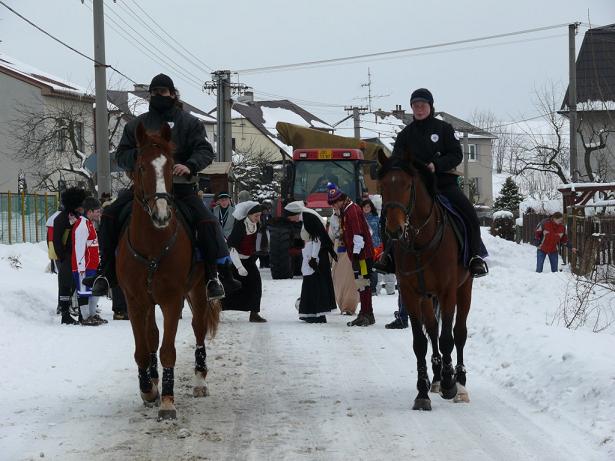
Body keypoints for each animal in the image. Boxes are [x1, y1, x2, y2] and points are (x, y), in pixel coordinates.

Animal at [116, 122, 220, 420]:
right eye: (140, 166)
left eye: (172, 166)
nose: (161, 214)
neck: (152, 245)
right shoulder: (135, 301)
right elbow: (143, 349)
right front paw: (148, 390)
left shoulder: (172, 300)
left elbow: (167, 351)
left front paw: (167, 402)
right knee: (152, 336)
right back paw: (152, 379)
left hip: (197, 291)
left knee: (198, 329)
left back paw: (199, 381)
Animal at [378, 150, 474, 410]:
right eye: (382, 185)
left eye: (407, 184)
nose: (394, 230)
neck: (420, 241)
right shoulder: (411, 294)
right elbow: (420, 342)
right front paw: (422, 392)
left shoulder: (448, 291)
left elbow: (448, 338)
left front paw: (451, 385)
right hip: (426, 297)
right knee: (432, 328)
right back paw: (437, 378)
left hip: (464, 288)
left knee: (459, 332)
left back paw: (460, 385)